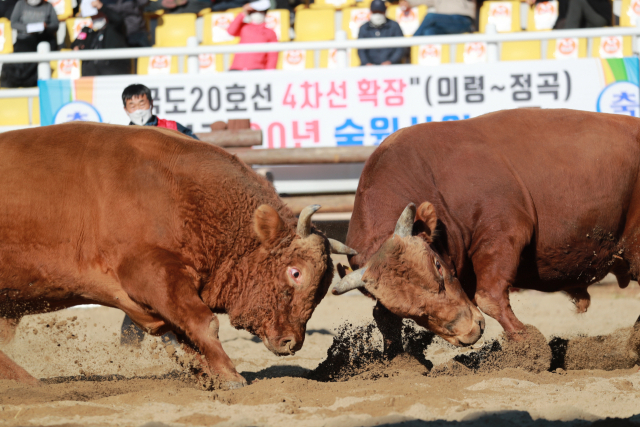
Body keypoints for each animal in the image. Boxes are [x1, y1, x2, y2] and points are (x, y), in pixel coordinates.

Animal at [0, 123, 356, 388]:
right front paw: (230, 375)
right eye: (295, 272)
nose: (292, 342)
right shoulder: (150, 271)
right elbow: (203, 323)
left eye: (322, 289)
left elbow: (186, 334)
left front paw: (208, 373)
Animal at [336, 108, 640, 356]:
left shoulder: (502, 234)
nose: (469, 331)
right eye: (414, 312)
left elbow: (489, 296)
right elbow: (383, 317)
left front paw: (527, 344)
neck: (432, 178)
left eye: (437, 266)